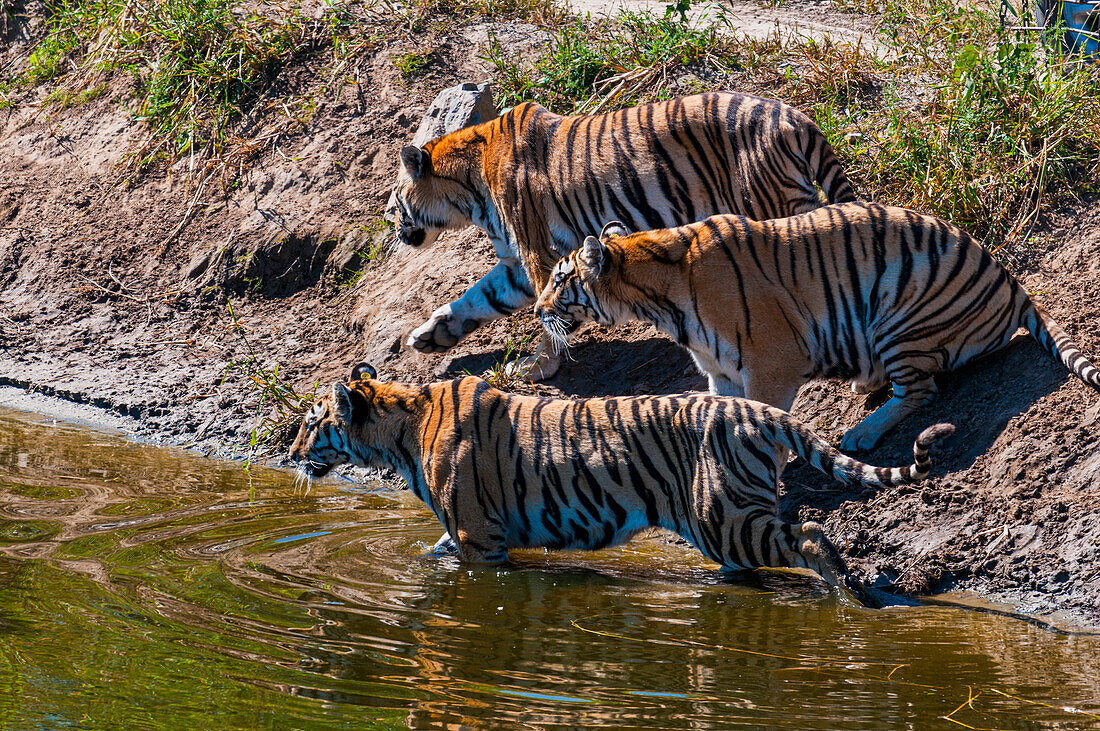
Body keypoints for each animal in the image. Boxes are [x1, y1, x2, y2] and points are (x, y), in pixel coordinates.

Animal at [290, 360, 954, 602]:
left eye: (310, 424)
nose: (291, 453)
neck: (402, 425)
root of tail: (756, 408)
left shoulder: (480, 536)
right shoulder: (465, 532)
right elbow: (432, 551)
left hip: (725, 518)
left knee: (810, 535)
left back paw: (850, 596)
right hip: (730, 521)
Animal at [389, 91, 858, 382]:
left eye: (393, 202)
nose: (394, 230)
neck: (467, 192)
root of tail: (798, 119)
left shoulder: (535, 253)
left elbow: (544, 314)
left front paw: (539, 368)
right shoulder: (516, 265)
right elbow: (478, 297)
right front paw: (429, 336)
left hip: (773, 207)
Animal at [532, 200, 1100, 450]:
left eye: (560, 280)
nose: (537, 308)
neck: (656, 299)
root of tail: (1013, 281)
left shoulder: (771, 365)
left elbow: (759, 417)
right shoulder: (719, 370)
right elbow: (716, 415)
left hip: (900, 315)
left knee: (922, 389)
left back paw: (860, 434)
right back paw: (863, 386)